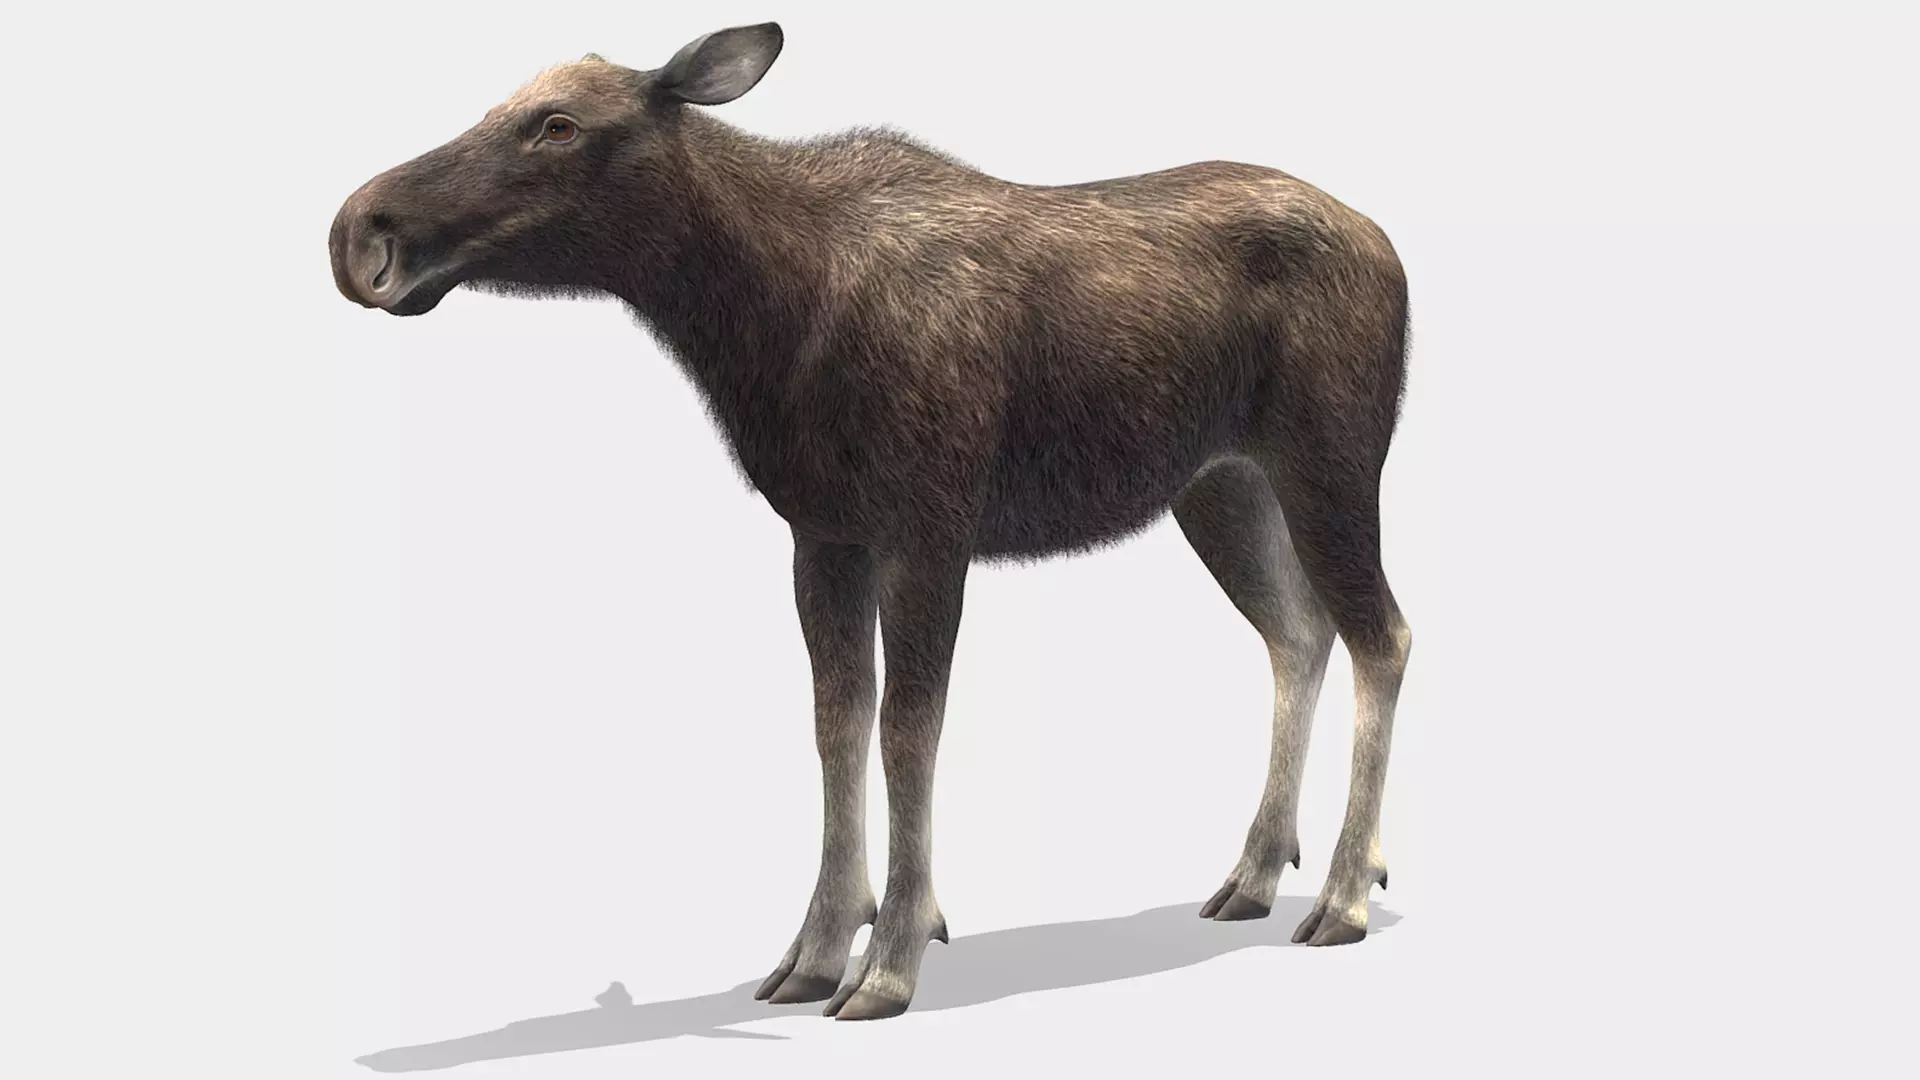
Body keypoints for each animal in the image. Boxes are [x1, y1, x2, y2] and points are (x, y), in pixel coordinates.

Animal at [329, 21, 1413, 1021]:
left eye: (557, 123)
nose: (361, 231)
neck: (759, 319)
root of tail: (1385, 242)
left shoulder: (930, 526)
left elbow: (908, 729)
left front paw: (890, 956)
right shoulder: (825, 534)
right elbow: (836, 722)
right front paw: (813, 951)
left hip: (1330, 462)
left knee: (1382, 635)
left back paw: (1344, 895)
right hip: (1219, 487)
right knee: (1297, 633)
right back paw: (1254, 874)